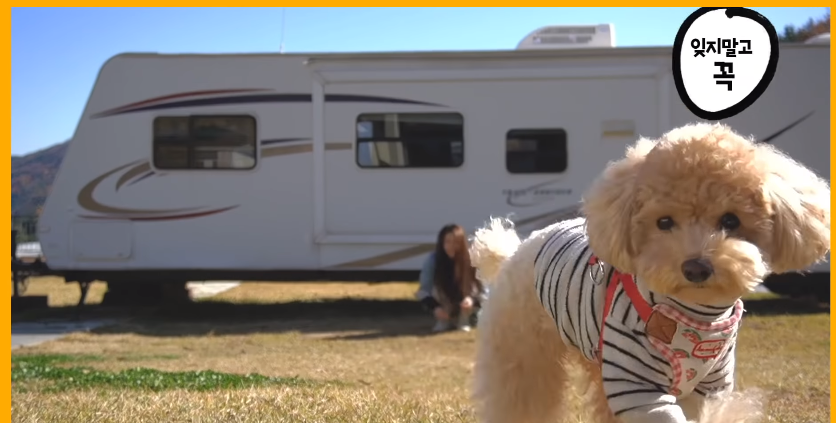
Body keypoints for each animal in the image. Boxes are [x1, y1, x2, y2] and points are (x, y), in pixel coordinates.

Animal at [470, 122, 828, 423]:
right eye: (664, 222)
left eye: (731, 220)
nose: (696, 267)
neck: (695, 316)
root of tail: (514, 250)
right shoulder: (636, 383)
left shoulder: (709, 387)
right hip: (523, 353)